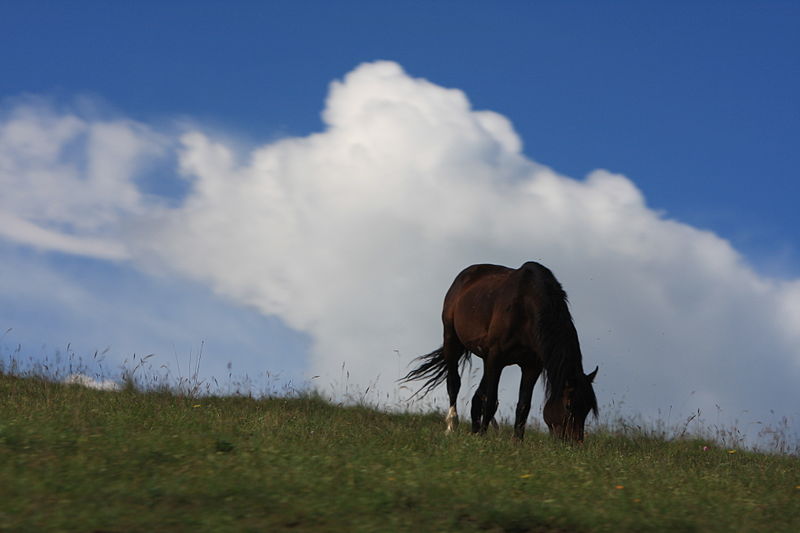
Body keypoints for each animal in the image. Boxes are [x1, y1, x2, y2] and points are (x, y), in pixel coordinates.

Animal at [404, 262, 596, 440]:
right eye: (569, 406)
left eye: (587, 408)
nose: (574, 443)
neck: (526, 309)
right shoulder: (497, 359)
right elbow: (490, 401)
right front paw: (482, 438)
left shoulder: (531, 366)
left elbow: (523, 406)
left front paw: (516, 442)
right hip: (453, 340)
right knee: (454, 383)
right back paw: (452, 426)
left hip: (485, 358)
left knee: (477, 396)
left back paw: (474, 430)